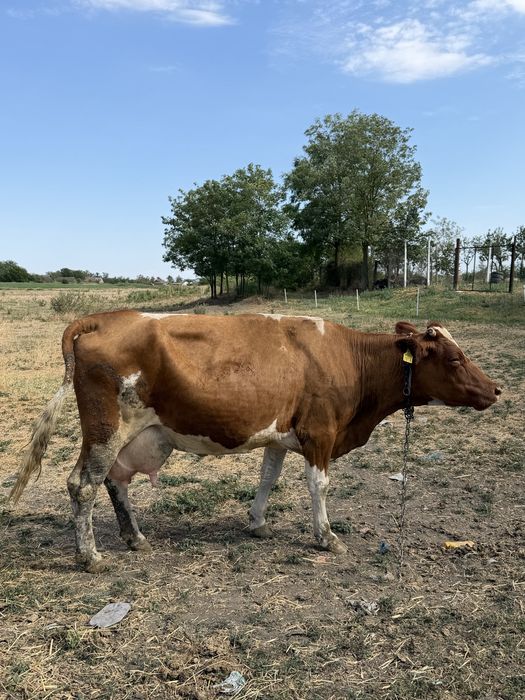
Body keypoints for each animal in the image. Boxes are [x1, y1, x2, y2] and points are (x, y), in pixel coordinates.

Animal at [10, 312, 501, 573]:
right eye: (455, 359)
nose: (496, 389)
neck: (350, 360)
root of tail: (104, 318)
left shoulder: (280, 435)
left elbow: (268, 479)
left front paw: (257, 522)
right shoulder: (320, 432)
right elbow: (319, 486)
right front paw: (326, 537)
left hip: (130, 437)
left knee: (114, 483)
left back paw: (135, 538)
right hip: (106, 429)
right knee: (82, 486)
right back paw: (90, 556)